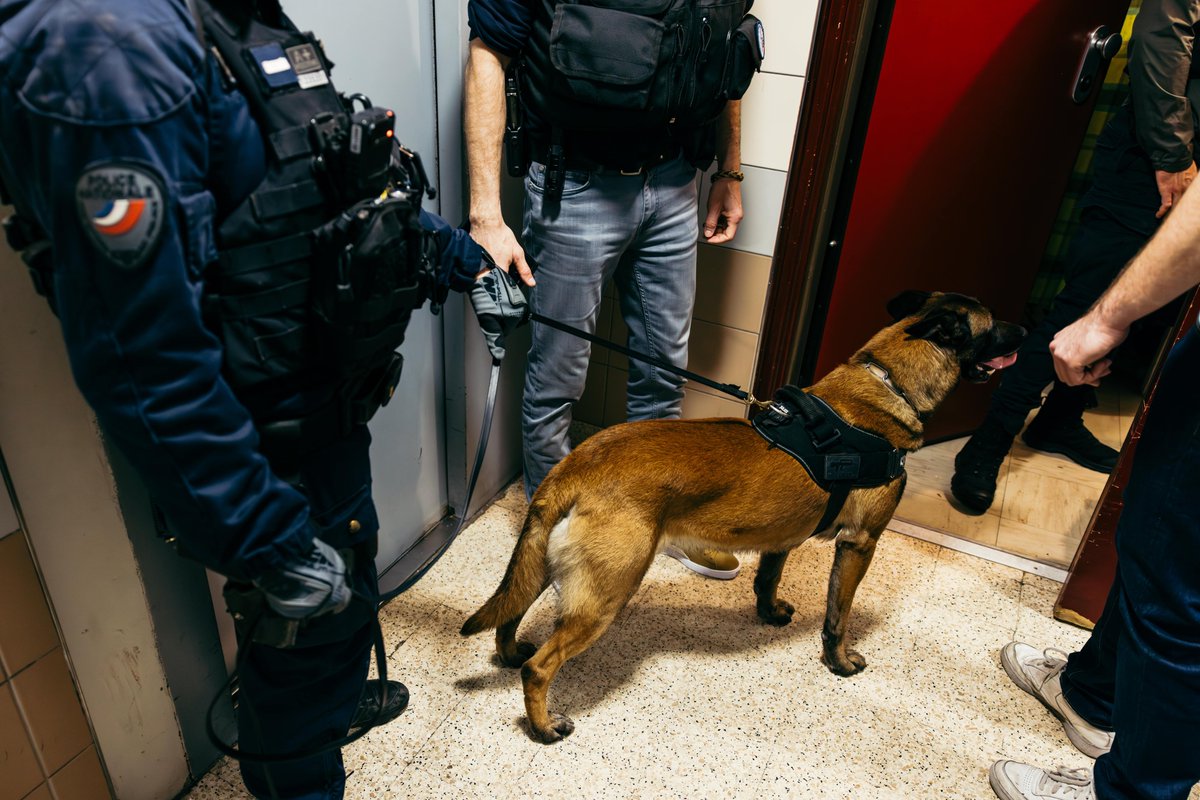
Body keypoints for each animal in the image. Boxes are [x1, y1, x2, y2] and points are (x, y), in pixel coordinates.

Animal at [458, 291, 1022, 743]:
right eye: (994, 323)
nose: (1027, 330)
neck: (886, 385)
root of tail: (577, 465)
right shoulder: (860, 543)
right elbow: (838, 617)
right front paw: (840, 663)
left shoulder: (782, 538)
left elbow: (766, 579)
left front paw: (768, 613)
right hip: (605, 596)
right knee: (539, 669)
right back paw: (543, 726)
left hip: (543, 567)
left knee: (509, 615)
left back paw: (509, 655)